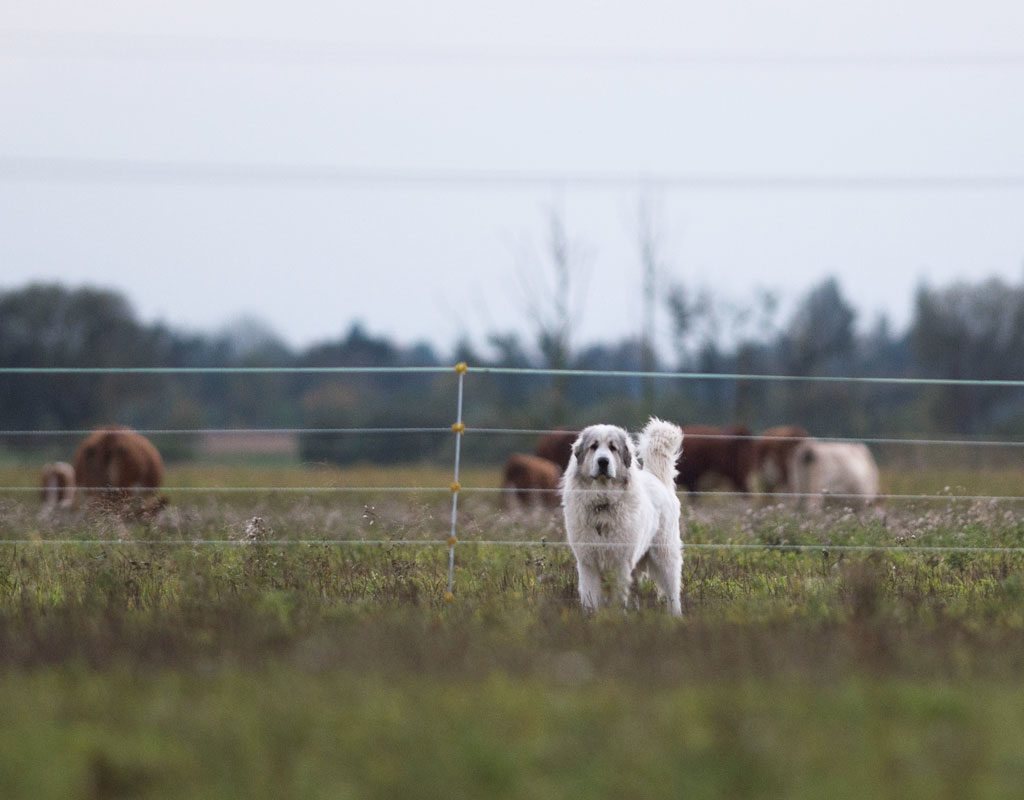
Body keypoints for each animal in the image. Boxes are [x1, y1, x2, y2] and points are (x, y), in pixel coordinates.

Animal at [565, 417, 684, 610]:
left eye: (613, 448)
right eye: (593, 446)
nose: (603, 461)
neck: (603, 503)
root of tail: (656, 478)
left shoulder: (620, 564)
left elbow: (618, 599)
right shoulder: (588, 563)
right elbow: (591, 600)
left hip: (665, 556)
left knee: (673, 594)